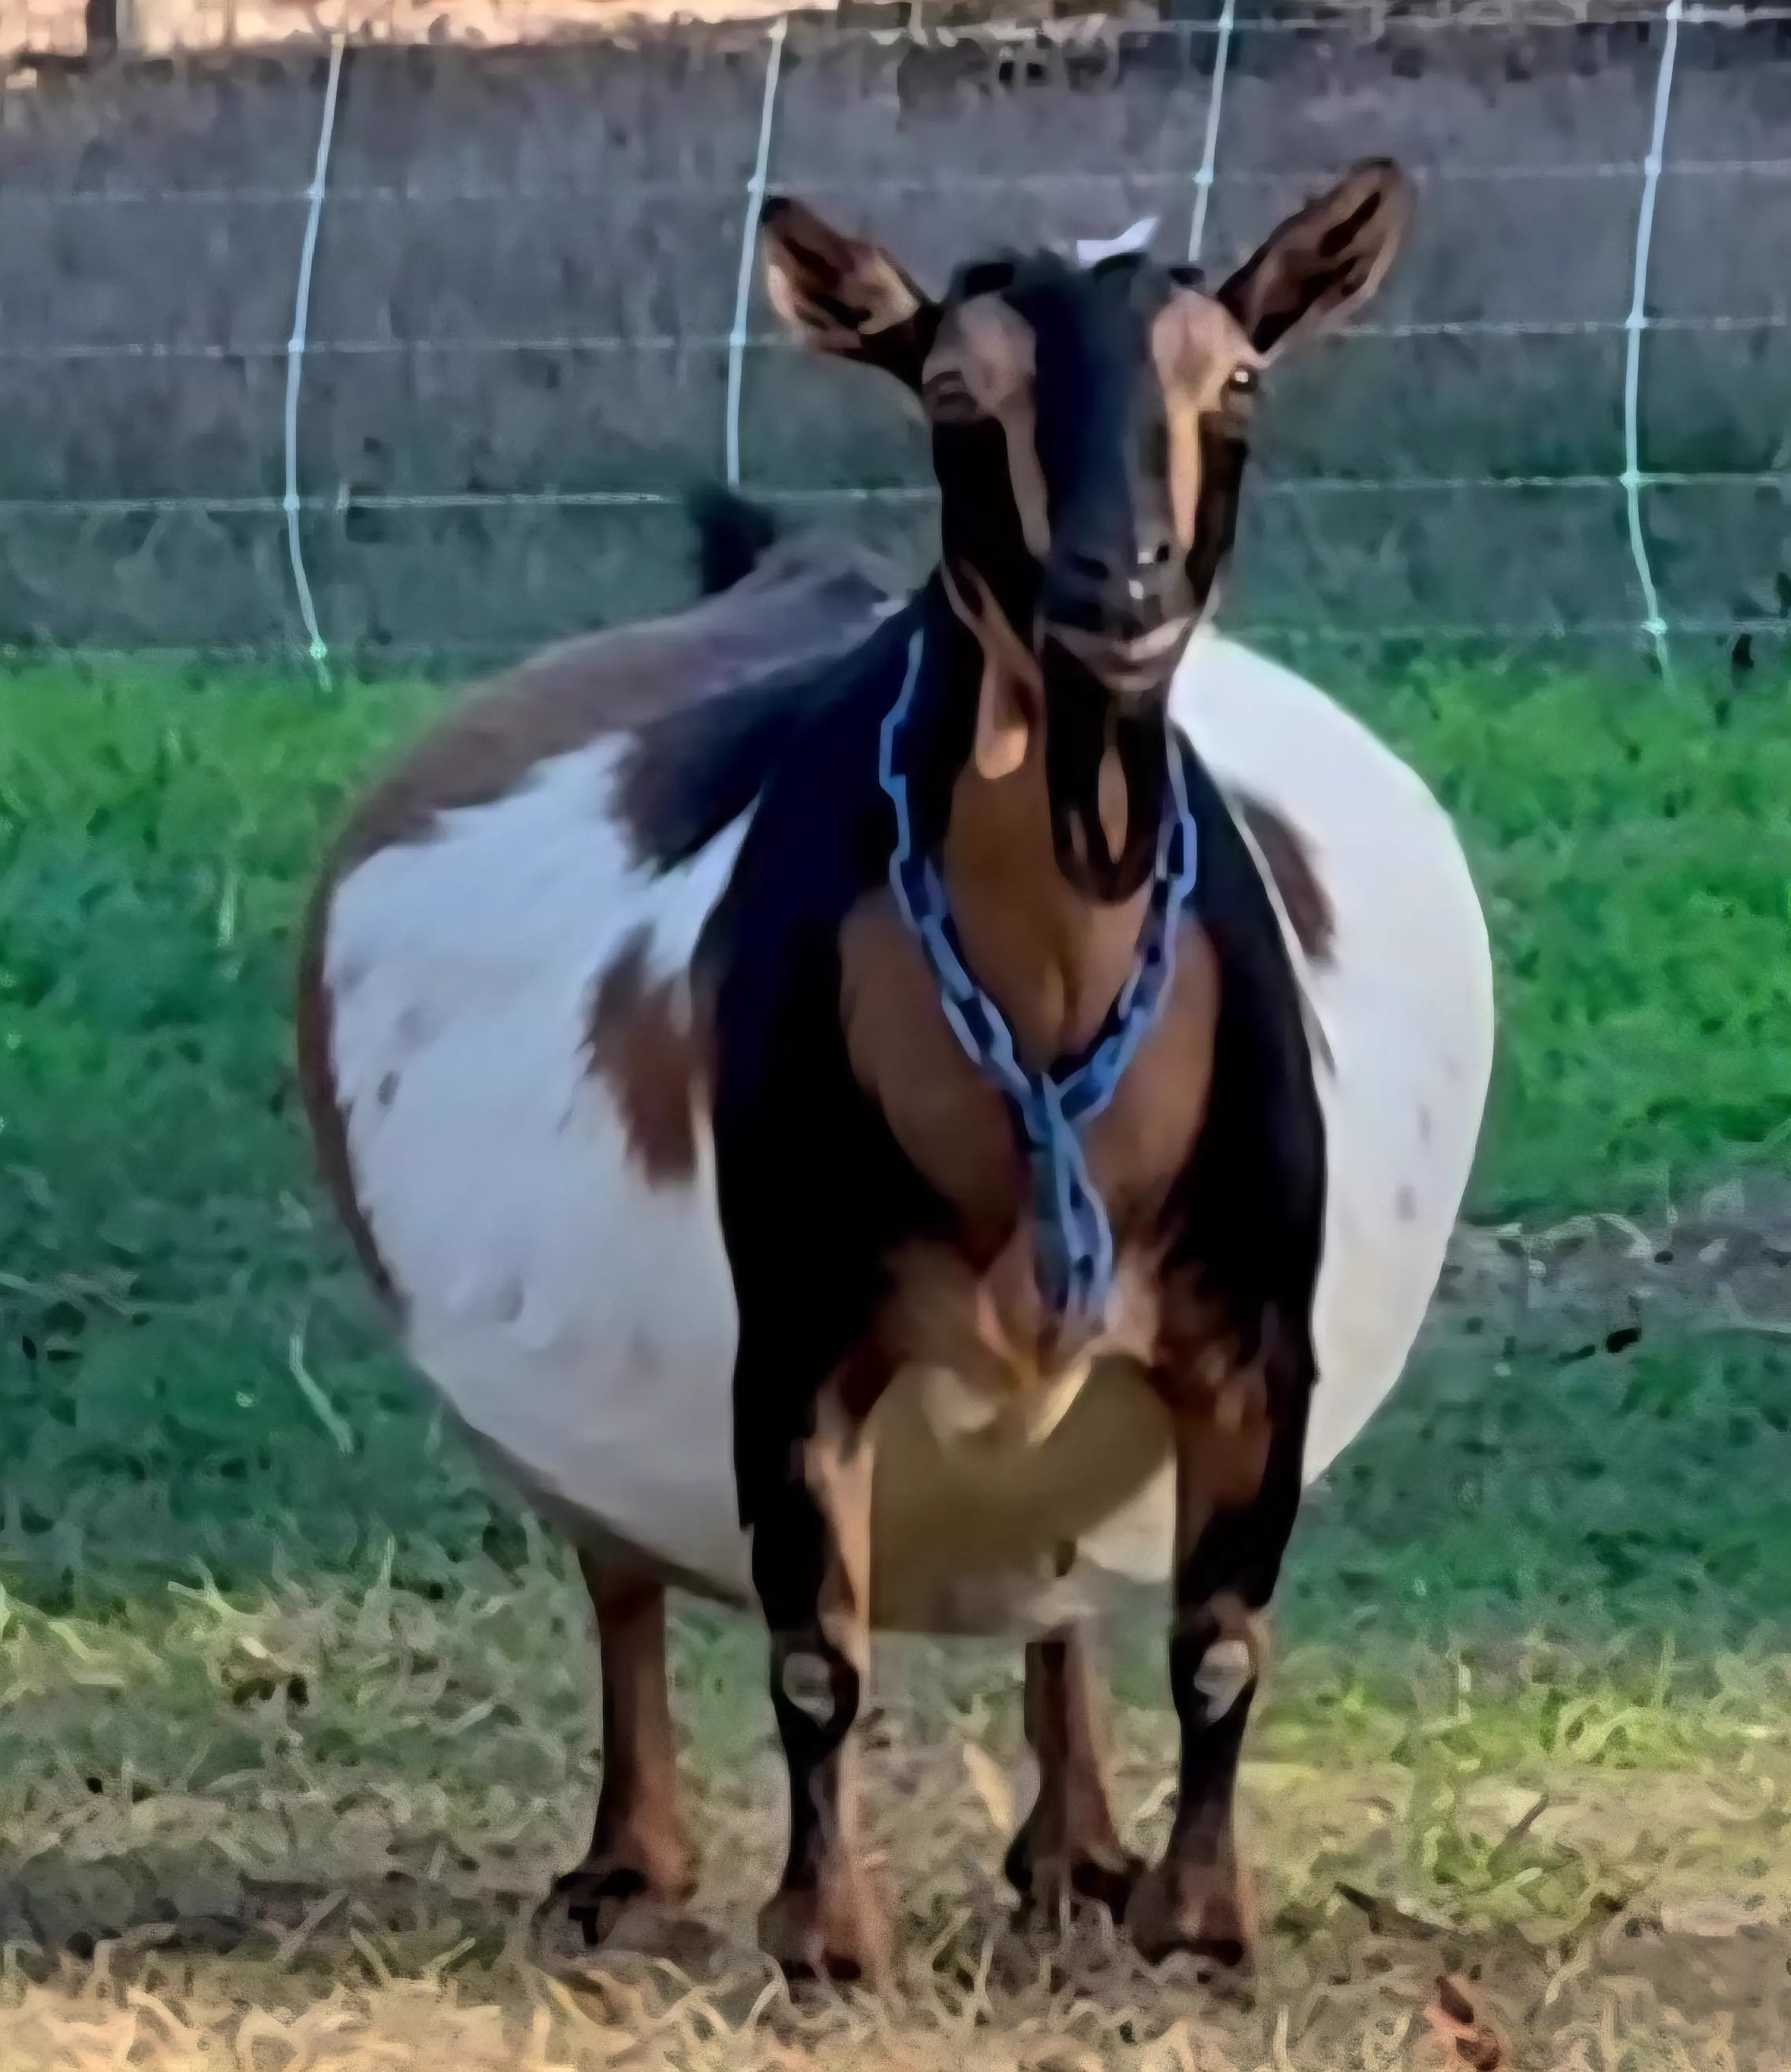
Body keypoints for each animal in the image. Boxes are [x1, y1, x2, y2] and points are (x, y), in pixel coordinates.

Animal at [296, 165, 1493, 1984]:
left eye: (1236, 378)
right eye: (950, 391)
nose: (1117, 590)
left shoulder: (1253, 1341)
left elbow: (1220, 1639)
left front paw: (1201, 1917)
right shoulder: (792, 1340)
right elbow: (816, 1647)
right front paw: (824, 1933)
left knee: (1062, 1593)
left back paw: (1075, 1845)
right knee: (619, 1569)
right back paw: (627, 1864)